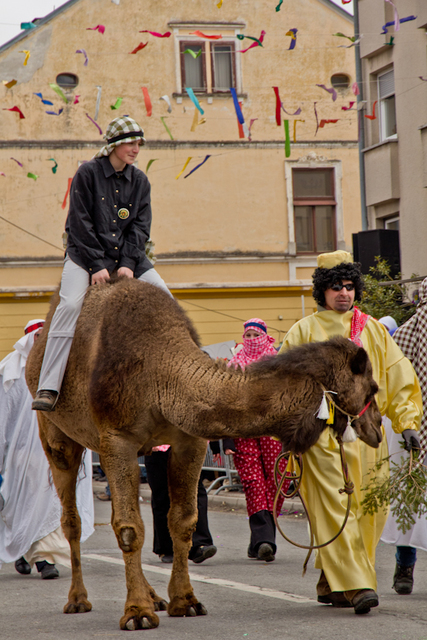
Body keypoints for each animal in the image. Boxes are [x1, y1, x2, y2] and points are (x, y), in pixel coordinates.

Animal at [25, 278, 382, 632]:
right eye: (372, 388)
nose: (377, 427)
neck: (159, 372)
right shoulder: (117, 439)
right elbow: (129, 528)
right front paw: (137, 612)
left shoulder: (190, 441)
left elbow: (182, 521)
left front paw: (185, 601)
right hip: (57, 436)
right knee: (72, 519)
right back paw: (78, 599)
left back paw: (154, 596)